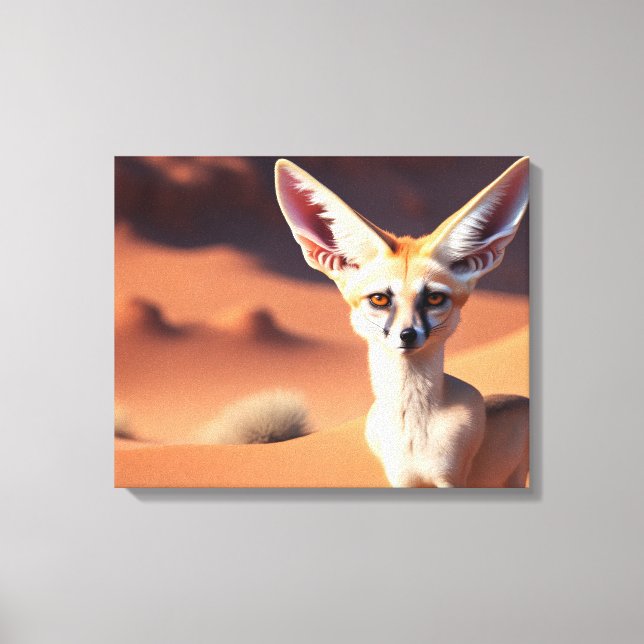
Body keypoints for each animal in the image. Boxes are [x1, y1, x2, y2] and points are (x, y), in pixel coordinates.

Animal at [274, 157, 530, 488]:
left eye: (434, 298)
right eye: (380, 299)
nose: (407, 335)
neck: (414, 431)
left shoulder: (450, 478)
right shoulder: (400, 479)